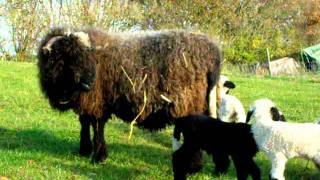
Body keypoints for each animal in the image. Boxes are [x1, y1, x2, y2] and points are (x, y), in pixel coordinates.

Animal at [37, 27, 221, 163]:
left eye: (85, 57)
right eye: (66, 57)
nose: (88, 83)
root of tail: (213, 51)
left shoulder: (98, 102)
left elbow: (97, 127)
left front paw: (99, 157)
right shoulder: (87, 103)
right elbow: (84, 123)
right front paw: (85, 149)